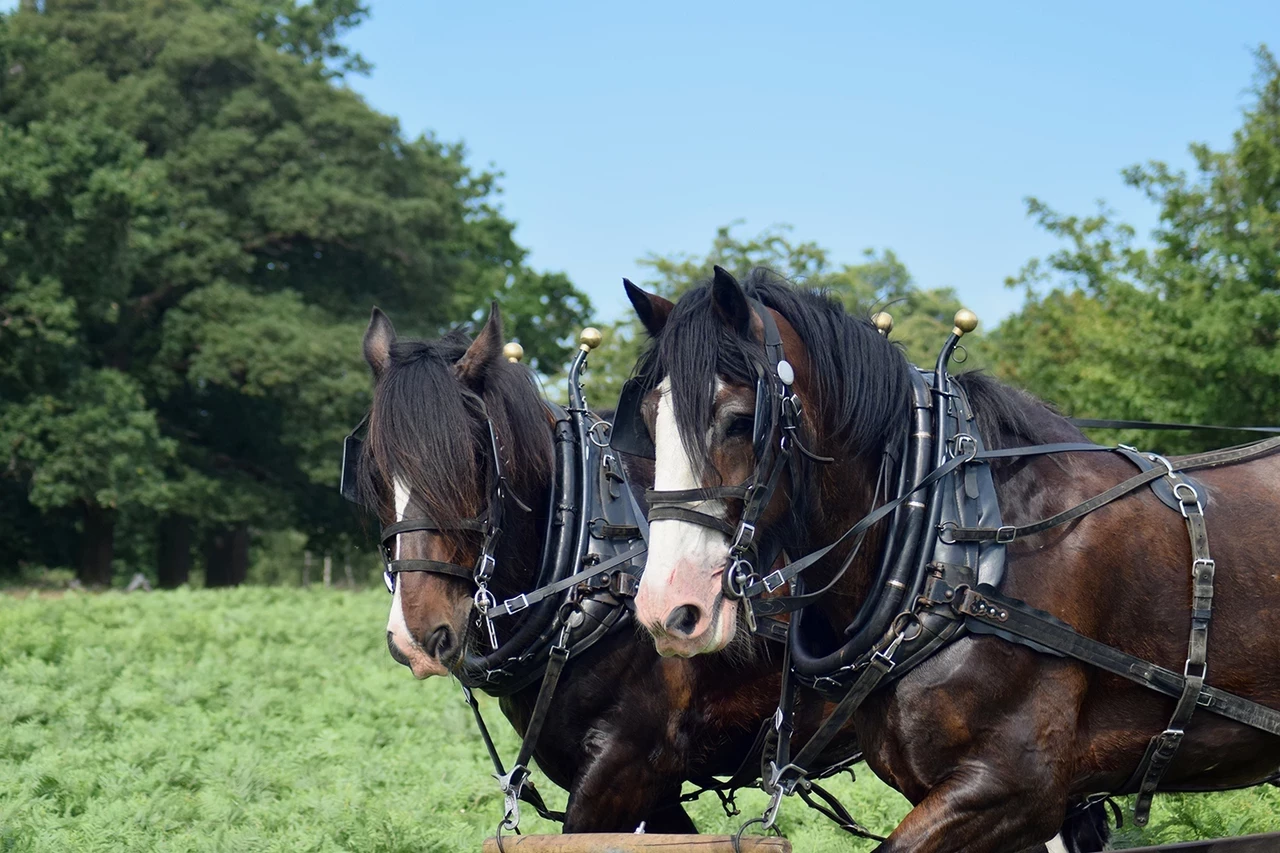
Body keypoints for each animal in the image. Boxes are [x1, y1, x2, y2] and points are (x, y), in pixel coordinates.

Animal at [353, 303, 860, 829]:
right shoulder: (645, 786)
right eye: (372, 469)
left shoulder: (627, 765)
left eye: (474, 459)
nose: (415, 637)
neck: (591, 560)